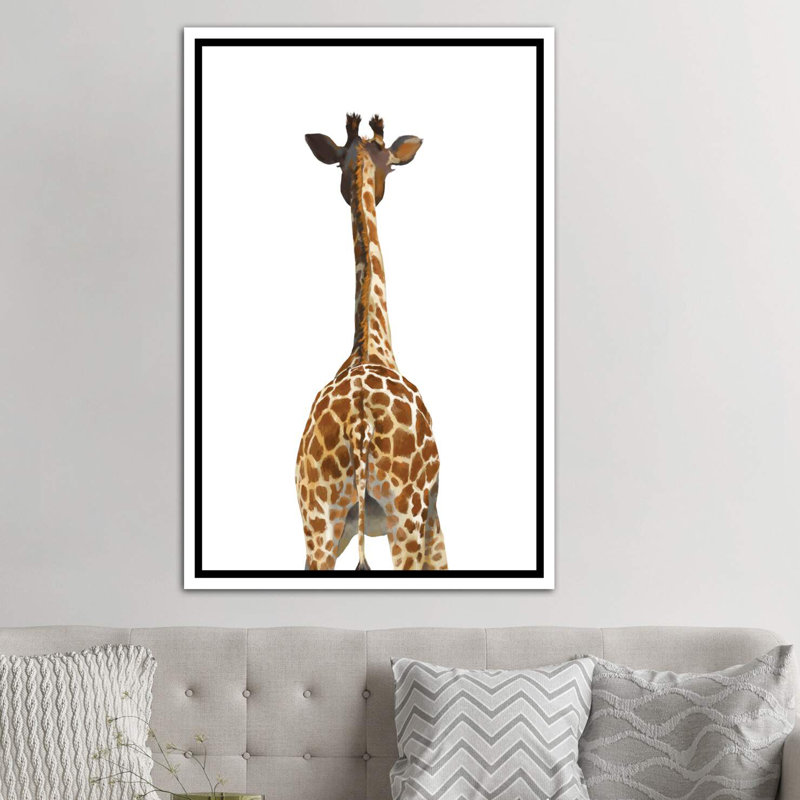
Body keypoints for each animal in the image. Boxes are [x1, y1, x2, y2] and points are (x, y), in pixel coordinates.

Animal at [295, 113, 448, 572]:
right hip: (406, 515)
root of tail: (360, 424)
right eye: (391, 167)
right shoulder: (435, 517)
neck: (373, 346)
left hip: (319, 524)